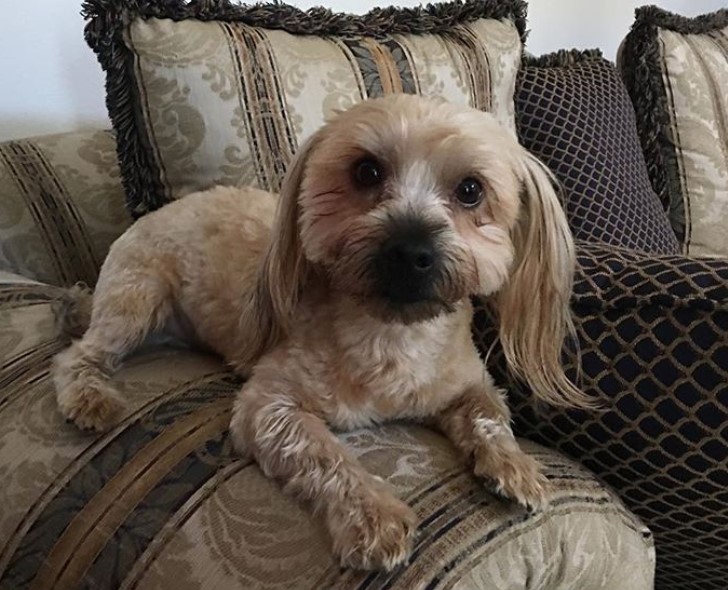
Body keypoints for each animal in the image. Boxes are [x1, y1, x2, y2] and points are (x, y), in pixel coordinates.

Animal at [52, 93, 584, 572]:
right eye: (366, 171)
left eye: (471, 189)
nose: (410, 250)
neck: (391, 334)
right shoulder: (267, 405)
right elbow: (325, 454)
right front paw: (372, 516)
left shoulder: (469, 383)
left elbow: (488, 415)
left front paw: (515, 466)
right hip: (136, 299)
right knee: (77, 355)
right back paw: (88, 396)